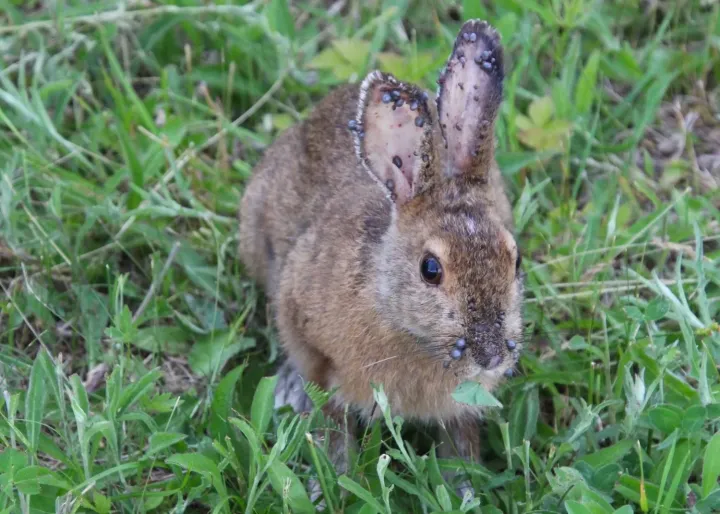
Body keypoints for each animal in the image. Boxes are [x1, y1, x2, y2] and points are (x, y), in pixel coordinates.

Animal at [239, 19, 524, 499]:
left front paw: (463, 493)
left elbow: (460, 443)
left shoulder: (462, 404)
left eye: (515, 260)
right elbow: (331, 420)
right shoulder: (314, 344)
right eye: (431, 270)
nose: (490, 356)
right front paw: (329, 487)